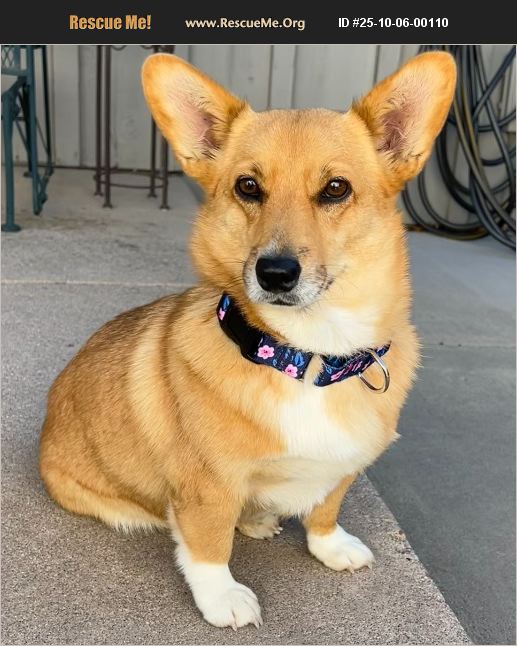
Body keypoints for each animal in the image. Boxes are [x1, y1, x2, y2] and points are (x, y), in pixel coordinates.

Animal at [39, 51, 456, 629]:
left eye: (336, 188)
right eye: (248, 187)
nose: (275, 273)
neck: (307, 356)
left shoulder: (342, 471)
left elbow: (326, 509)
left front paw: (331, 546)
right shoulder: (206, 490)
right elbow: (209, 547)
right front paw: (223, 599)